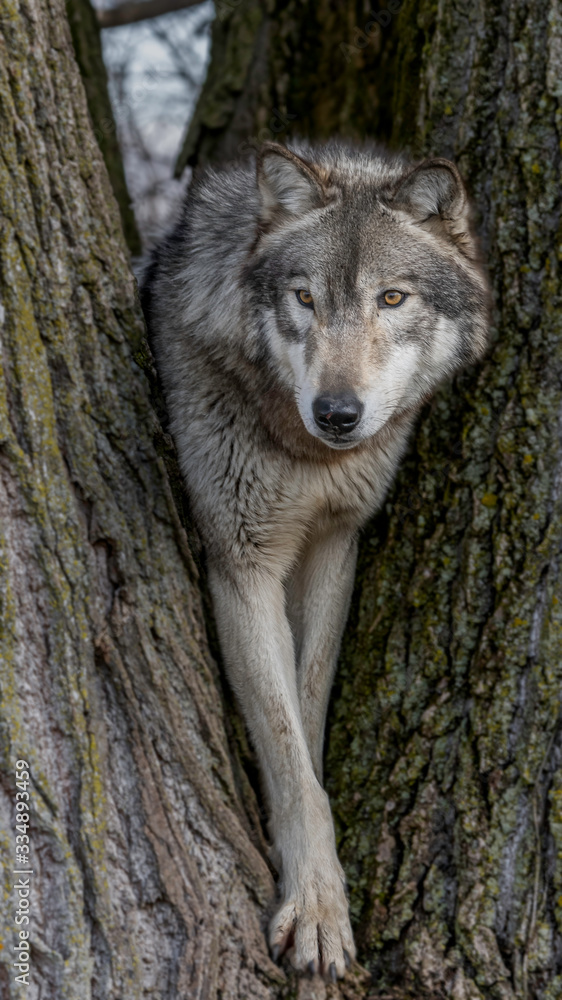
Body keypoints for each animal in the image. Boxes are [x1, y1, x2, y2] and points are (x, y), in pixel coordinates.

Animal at [141, 140, 490, 981]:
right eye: (305, 298)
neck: (308, 456)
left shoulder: (334, 544)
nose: (337, 413)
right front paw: (319, 911)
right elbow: (289, 750)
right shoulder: (242, 561)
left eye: (391, 299)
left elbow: (306, 712)